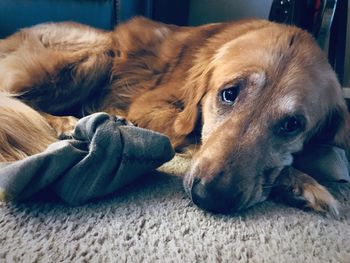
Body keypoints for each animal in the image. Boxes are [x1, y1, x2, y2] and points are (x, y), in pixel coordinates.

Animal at [0, 18, 348, 217]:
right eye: (229, 94)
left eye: (292, 125)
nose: (211, 198)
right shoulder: (149, 107)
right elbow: (191, 133)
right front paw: (301, 181)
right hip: (99, 49)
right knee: (13, 98)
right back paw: (67, 122)